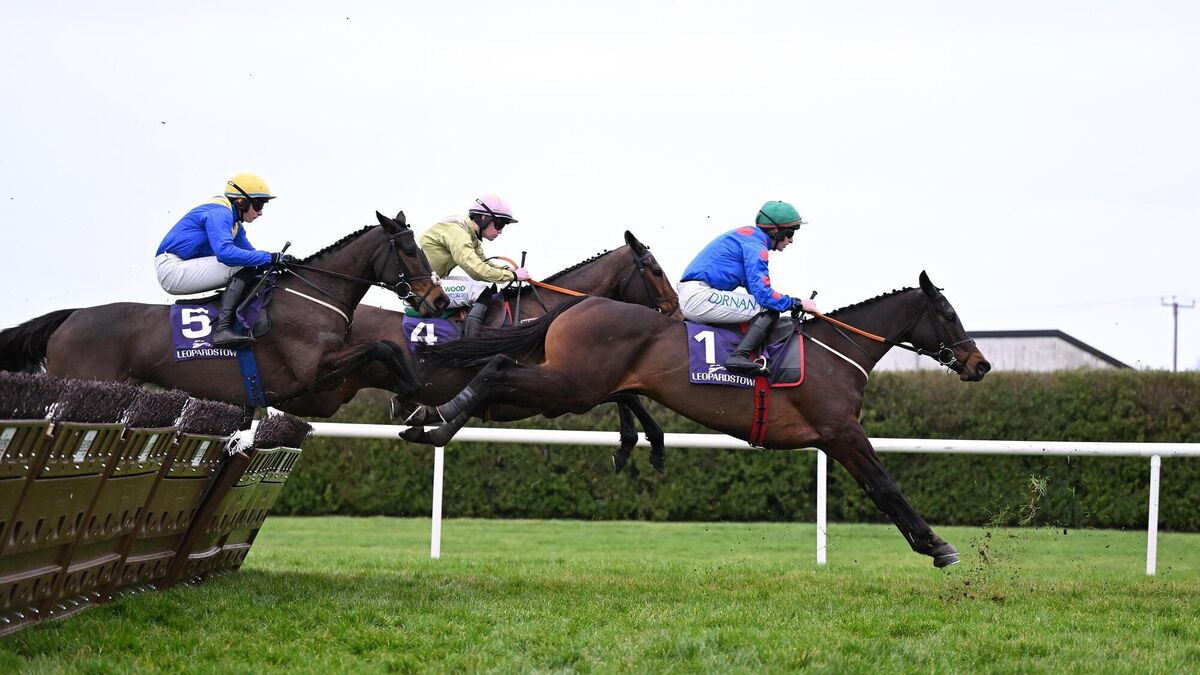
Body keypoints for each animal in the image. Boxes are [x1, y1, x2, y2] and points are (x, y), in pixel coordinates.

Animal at [0, 211, 449, 408]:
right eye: (410, 250)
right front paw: (412, 392)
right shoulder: (312, 371)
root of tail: (70, 316)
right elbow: (383, 347)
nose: (440, 300)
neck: (313, 293)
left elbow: (381, 351)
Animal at [276, 230, 682, 472]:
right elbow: (622, 394)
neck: (541, 313)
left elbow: (624, 393)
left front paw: (636, 444)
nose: (676, 310)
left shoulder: (564, 383)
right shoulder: (547, 391)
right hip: (316, 390)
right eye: (656, 271)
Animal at [400, 271, 991, 567]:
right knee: (497, 368)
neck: (835, 352)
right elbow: (887, 487)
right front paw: (937, 546)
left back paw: (433, 419)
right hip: (569, 386)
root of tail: (577, 305)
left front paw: (928, 544)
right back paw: (440, 417)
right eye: (948, 314)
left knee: (504, 368)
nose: (979, 364)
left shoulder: (833, 439)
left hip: (578, 383)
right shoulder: (842, 432)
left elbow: (879, 489)